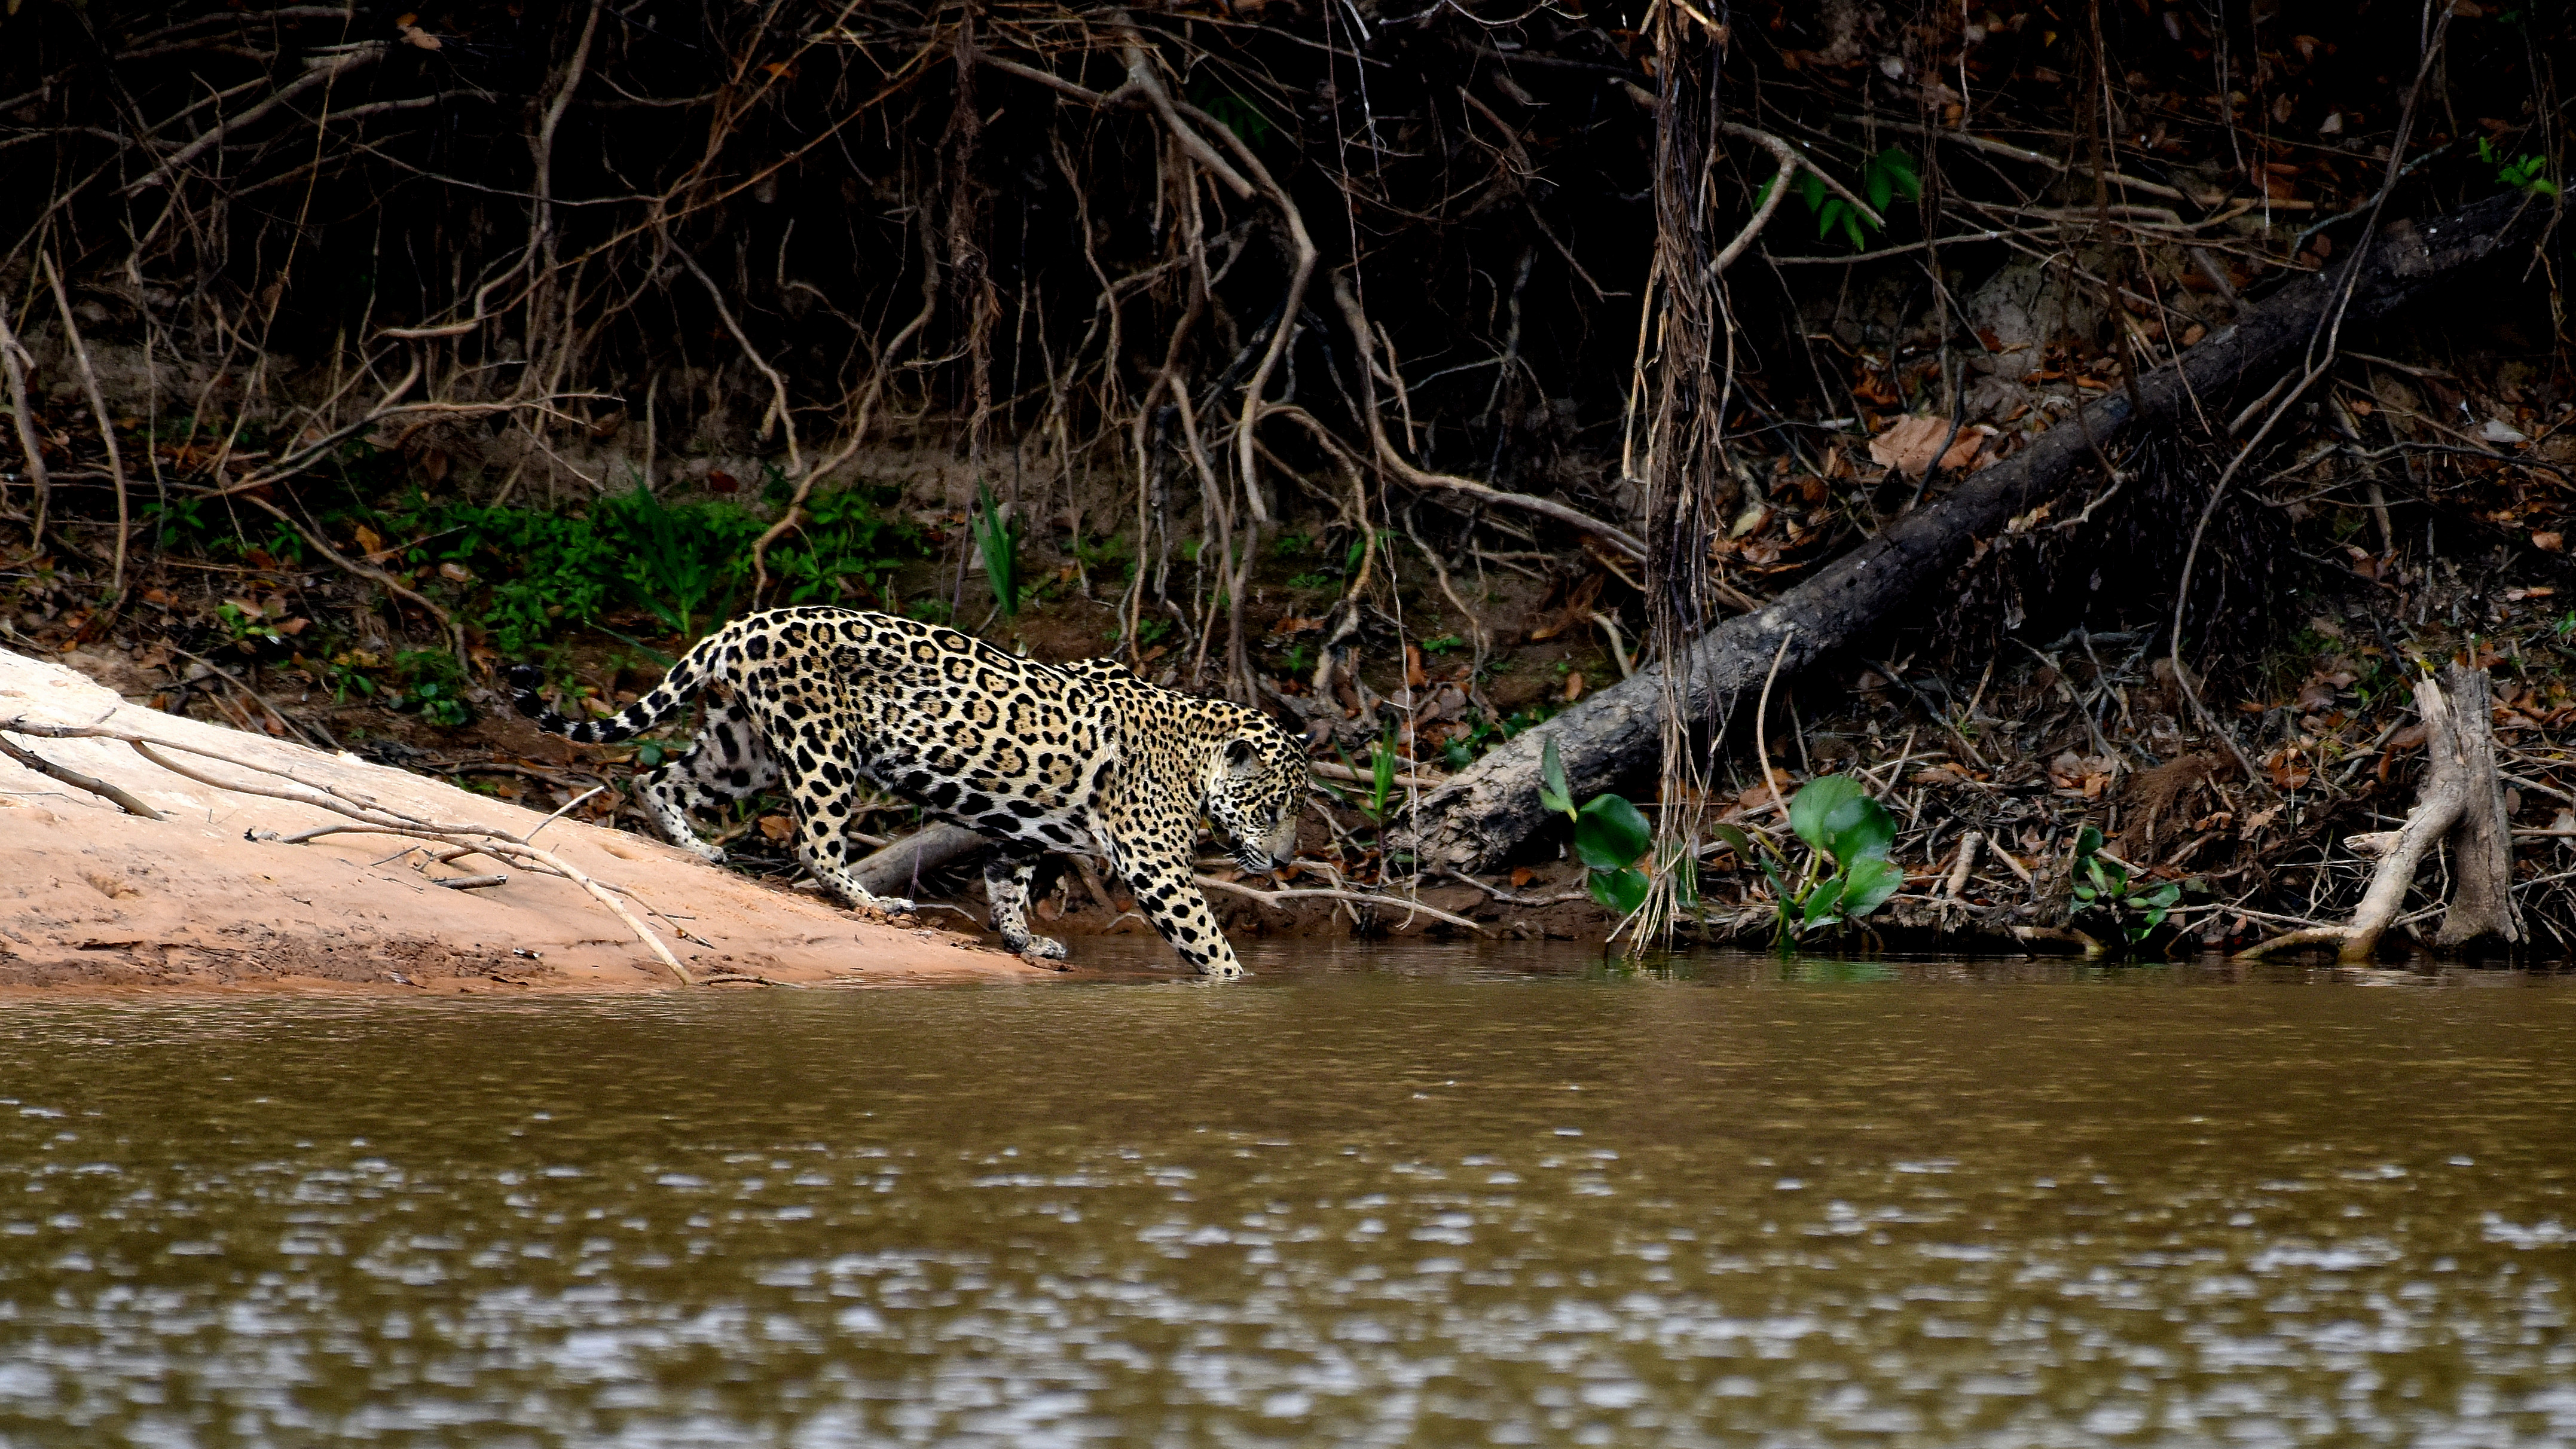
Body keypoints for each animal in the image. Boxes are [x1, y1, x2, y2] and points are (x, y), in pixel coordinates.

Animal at [507, 606, 1306, 977]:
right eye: (1272, 811)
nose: (1285, 862)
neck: (1196, 754)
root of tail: (748, 621)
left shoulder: (1018, 828)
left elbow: (1007, 884)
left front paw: (1024, 940)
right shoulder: (1154, 863)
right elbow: (1204, 936)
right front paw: (1240, 983)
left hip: (743, 750)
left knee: (655, 777)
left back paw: (699, 849)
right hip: (821, 747)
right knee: (815, 842)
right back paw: (873, 902)